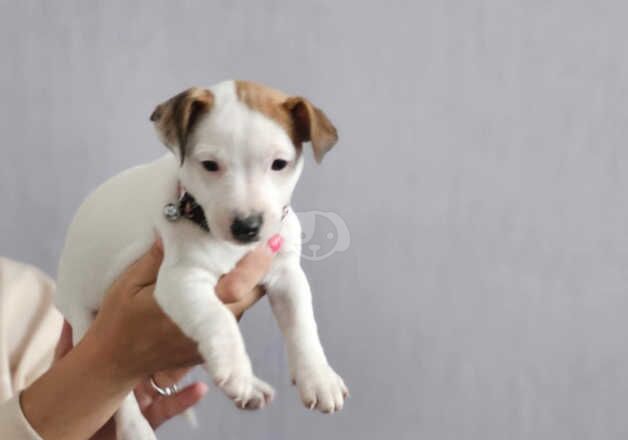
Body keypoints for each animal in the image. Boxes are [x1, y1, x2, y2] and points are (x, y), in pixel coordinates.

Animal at [54, 80, 348, 440]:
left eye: (279, 164)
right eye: (209, 165)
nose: (247, 227)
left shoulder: (286, 273)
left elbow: (303, 323)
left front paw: (319, 377)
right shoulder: (181, 279)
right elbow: (217, 316)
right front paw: (236, 371)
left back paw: (251, 387)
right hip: (85, 322)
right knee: (118, 395)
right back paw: (138, 428)